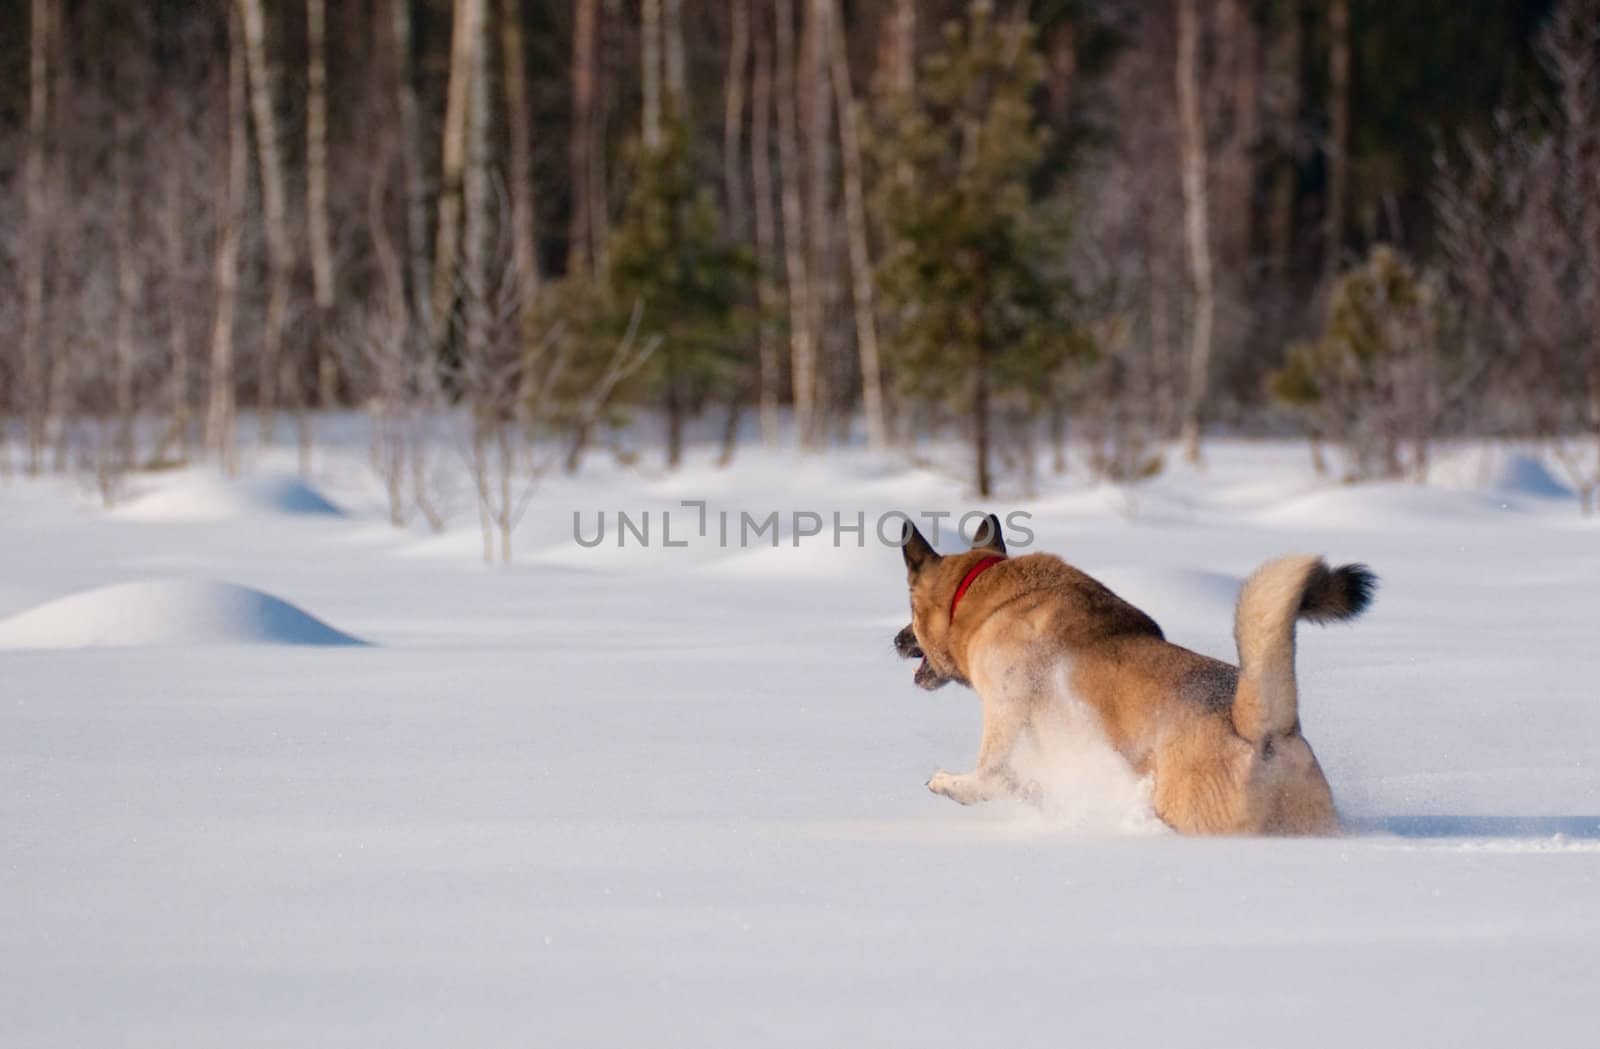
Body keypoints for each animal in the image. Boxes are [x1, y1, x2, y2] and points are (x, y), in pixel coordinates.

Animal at [889, 514, 1376, 837]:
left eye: (911, 610)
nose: (896, 640)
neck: (978, 593)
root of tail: (1260, 726)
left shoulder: (1006, 708)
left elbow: (990, 774)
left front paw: (950, 784)